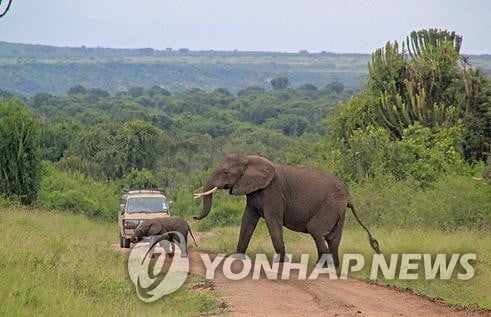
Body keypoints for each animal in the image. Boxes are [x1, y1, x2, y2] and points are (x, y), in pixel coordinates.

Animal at [193, 153, 380, 264]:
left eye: (225, 172)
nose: (194, 218)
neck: (250, 159)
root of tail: (348, 196)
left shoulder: (273, 192)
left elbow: (272, 221)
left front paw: (281, 262)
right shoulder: (254, 193)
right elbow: (248, 220)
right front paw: (237, 257)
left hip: (330, 206)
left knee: (316, 231)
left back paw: (321, 267)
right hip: (338, 211)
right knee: (333, 238)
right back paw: (332, 269)